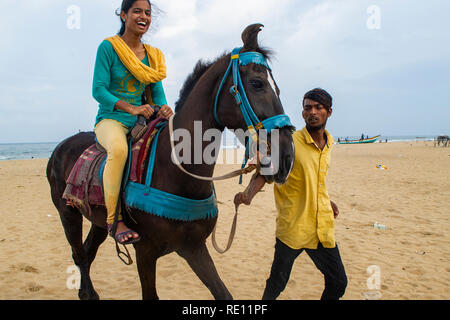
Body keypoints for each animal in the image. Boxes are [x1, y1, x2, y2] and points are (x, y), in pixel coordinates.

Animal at [46, 24, 296, 300]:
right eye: (257, 83)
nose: (286, 156)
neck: (175, 170)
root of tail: (60, 147)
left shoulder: (193, 247)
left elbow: (223, 294)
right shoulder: (145, 253)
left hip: (100, 221)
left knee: (87, 253)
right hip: (68, 213)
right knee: (79, 254)